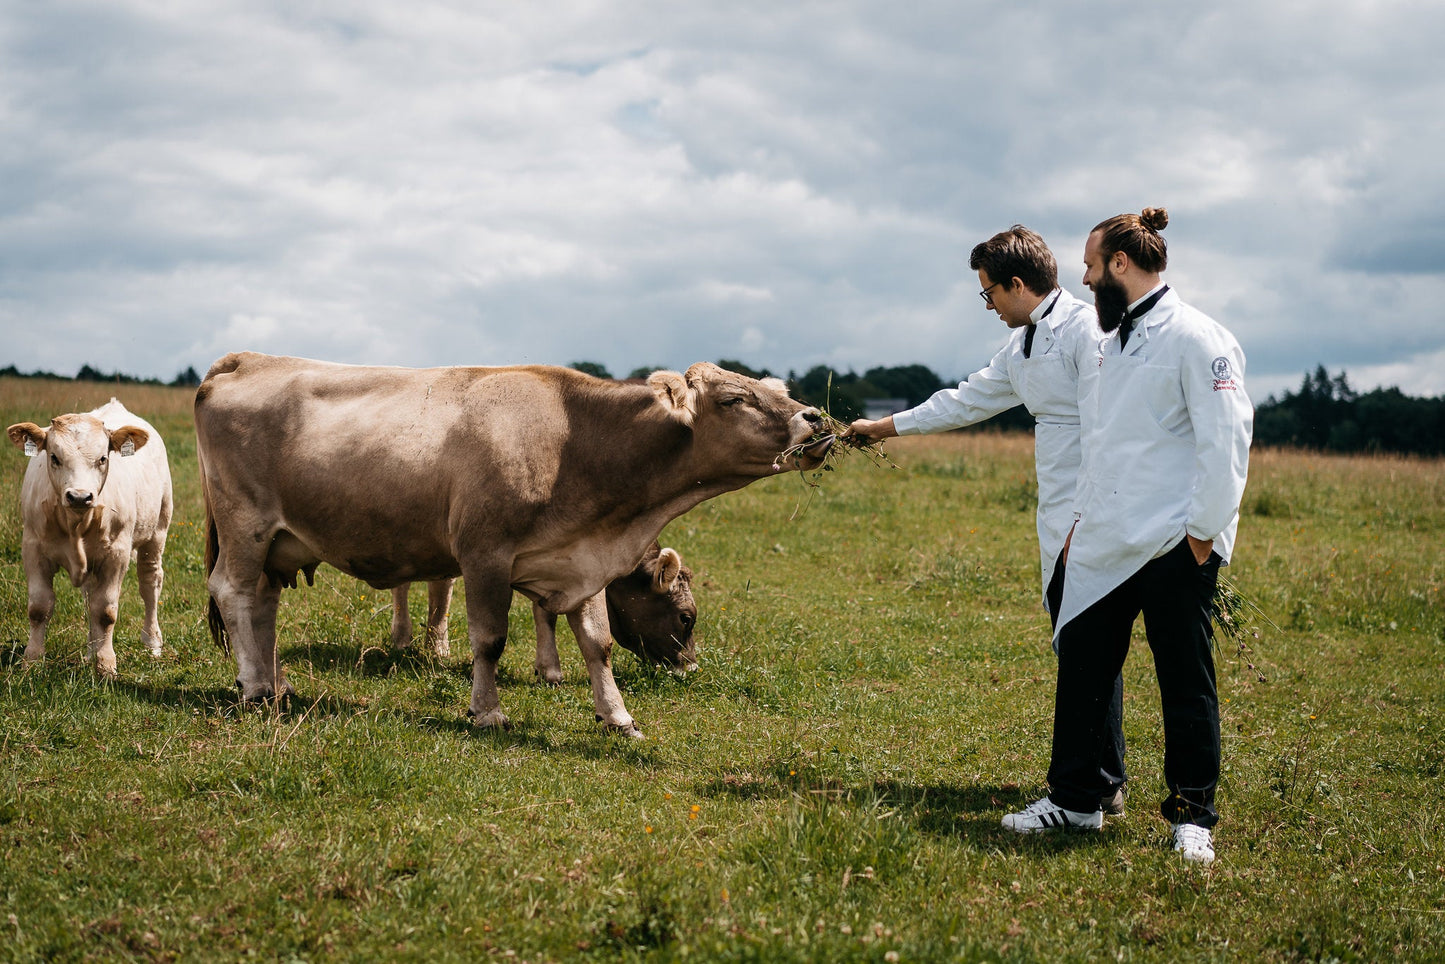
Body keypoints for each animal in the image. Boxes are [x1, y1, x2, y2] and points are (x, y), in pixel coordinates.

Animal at [5, 396, 172, 676]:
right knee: (90, 595)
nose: (80, 496)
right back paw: (91, 650)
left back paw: (152, 643)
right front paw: (33, 661)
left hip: (157, 532)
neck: (76, 523)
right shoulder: (33, 549)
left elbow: (105, 611)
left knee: (150, 583)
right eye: (54, 457)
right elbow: (39, 607)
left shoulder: (116, 555)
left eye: (103, 458)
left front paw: (106, 665)